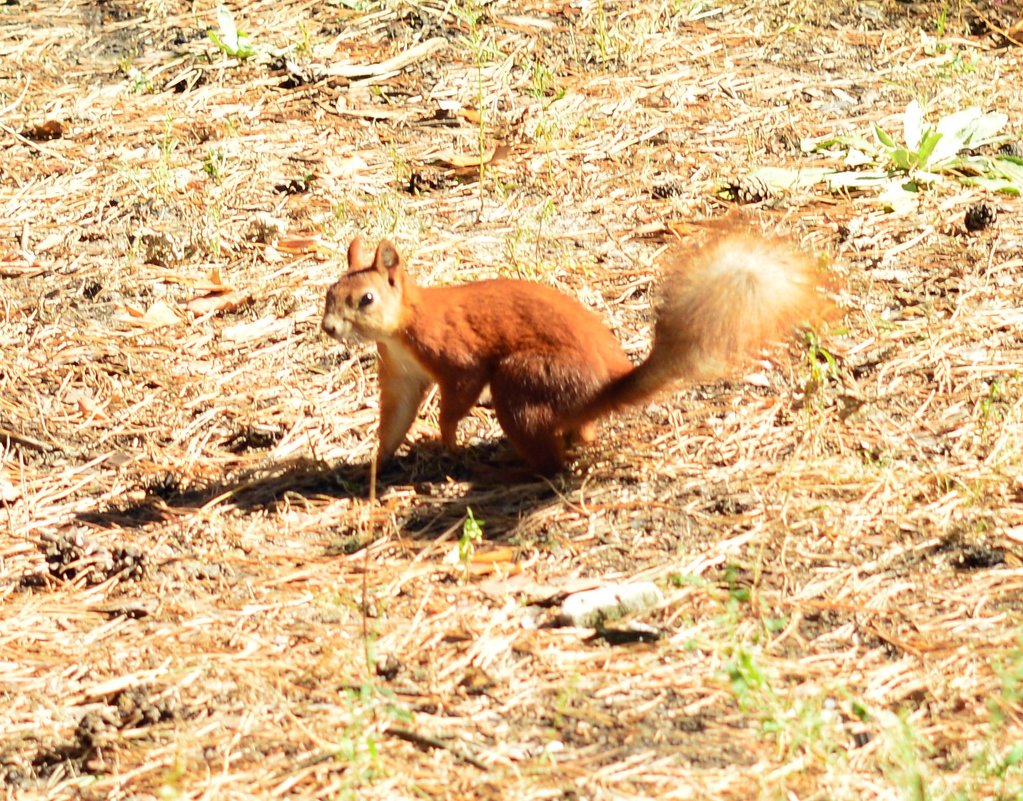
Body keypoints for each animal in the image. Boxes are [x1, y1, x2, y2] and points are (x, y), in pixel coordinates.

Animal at [319, 224, 822, 476]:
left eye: (366, 299)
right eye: (329, 292)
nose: (328, 328)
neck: (401, 330)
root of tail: (601, 389)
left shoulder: (457, 354)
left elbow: (457, 394)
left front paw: (444, 438)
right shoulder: (402, 372)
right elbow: (395, 417)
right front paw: (375, 464)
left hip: (521, 378)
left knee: (553, 461)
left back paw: (514, 466)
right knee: (580, 435)